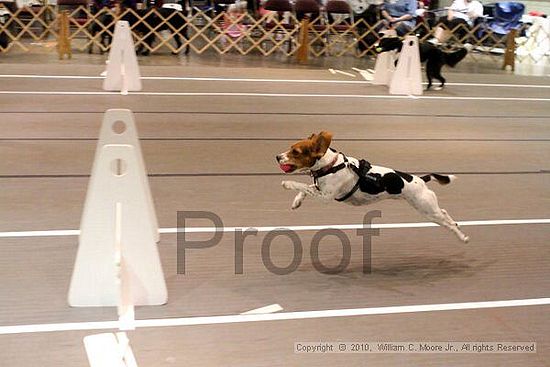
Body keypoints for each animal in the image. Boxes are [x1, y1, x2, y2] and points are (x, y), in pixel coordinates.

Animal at [278, 132, 472, 244]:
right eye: (290, 148)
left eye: (295, 152)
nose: (277, 157)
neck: (331, 165)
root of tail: (421, 179)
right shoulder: (320, 190)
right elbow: (305, 188)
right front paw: (296, 202)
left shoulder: (325, 197)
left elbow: (301, 185)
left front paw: (287, 184)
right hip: (428, 208)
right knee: (445, 213)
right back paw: (457, 225)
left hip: (427, 209)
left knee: (447, 223)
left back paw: (462, 236)